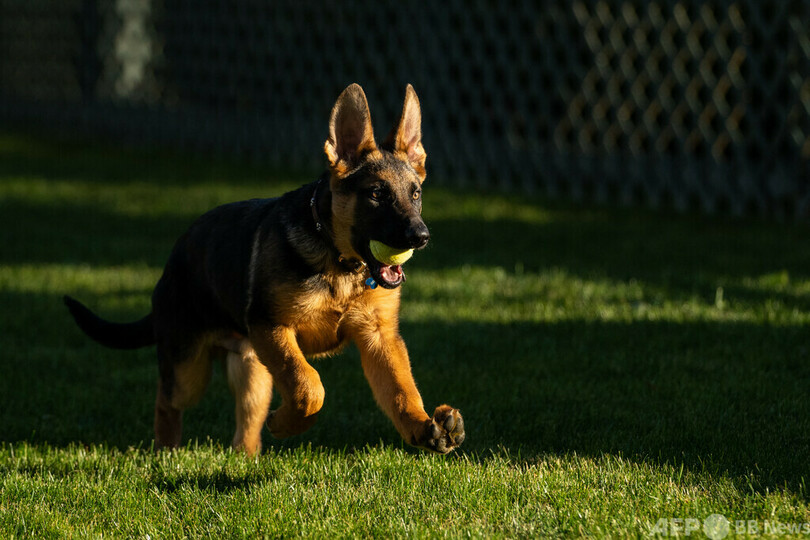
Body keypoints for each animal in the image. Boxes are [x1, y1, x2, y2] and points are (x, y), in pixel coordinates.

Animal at [63, 84, 464, 456]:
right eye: (377, 194)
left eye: (415, 194)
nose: (421, 237)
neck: (339, 265)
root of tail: (173, 261)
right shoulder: (272, 327)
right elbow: (309, 385)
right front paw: (287, 424)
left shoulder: (379, 339)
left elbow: (401, 390)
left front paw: (424, 427)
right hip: (190, 367)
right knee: (167, 399)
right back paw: (166, 450)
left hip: (252, 369)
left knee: (247, 422)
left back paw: (246, 456)